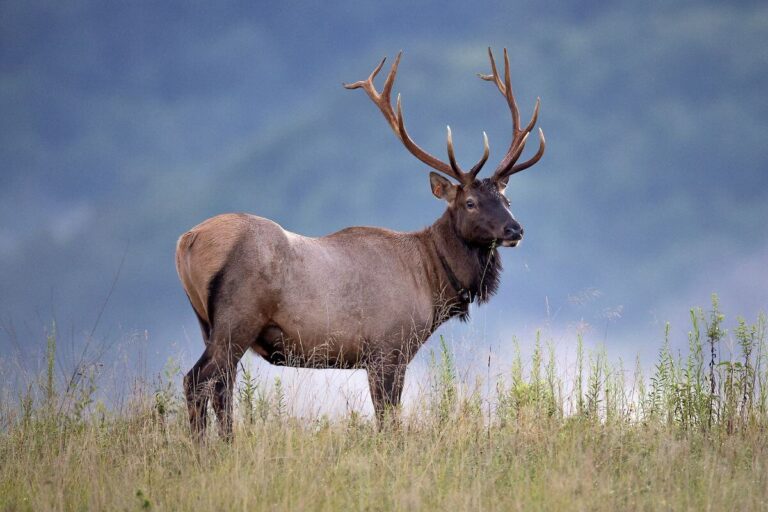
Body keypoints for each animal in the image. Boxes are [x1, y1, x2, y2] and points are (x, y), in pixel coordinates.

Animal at [176, 48, 545, 440]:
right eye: (470, 203)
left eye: (507, 199)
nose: (515, 229)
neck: (432, 282)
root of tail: (187, 241)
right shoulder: (388, 347)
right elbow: (388, 418)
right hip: (238, 317)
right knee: (198, 380)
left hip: (208, 323)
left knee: (220, 385)